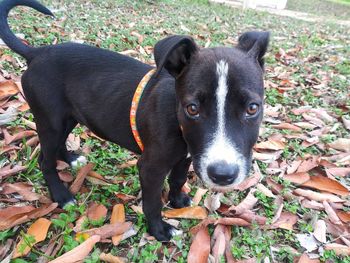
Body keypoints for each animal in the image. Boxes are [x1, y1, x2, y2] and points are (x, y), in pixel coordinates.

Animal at [0, 0, 270, 241]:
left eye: (252, 108)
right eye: (192, 108)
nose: (223, 176)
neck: (176, 119)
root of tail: (37, 52)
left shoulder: (188, 155)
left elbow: (178, 179)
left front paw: (178, 200)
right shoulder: (150, 167)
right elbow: (151, 202)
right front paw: (159, 230)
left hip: (67, 116)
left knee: (57, 145)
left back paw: (71, 159)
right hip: (51, 120)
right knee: (45, 160)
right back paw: (62, 196)